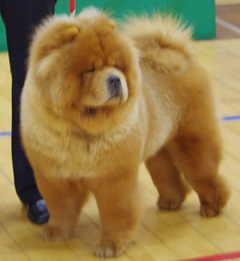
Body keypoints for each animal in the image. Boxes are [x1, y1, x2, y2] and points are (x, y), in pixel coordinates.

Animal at [19, 6, 230, 256]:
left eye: (117, 66)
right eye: (90, 69)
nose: (115, 79)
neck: (80, 130)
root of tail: (179, 54)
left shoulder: (114, 177)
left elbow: (116, 212)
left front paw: (110, 245)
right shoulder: (54, 176)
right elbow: (61, 207)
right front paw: (56, 232)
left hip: (192, 143)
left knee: (206, 175)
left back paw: (212, 207)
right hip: (159, 151)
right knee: (168, 174)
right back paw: (170, 201)